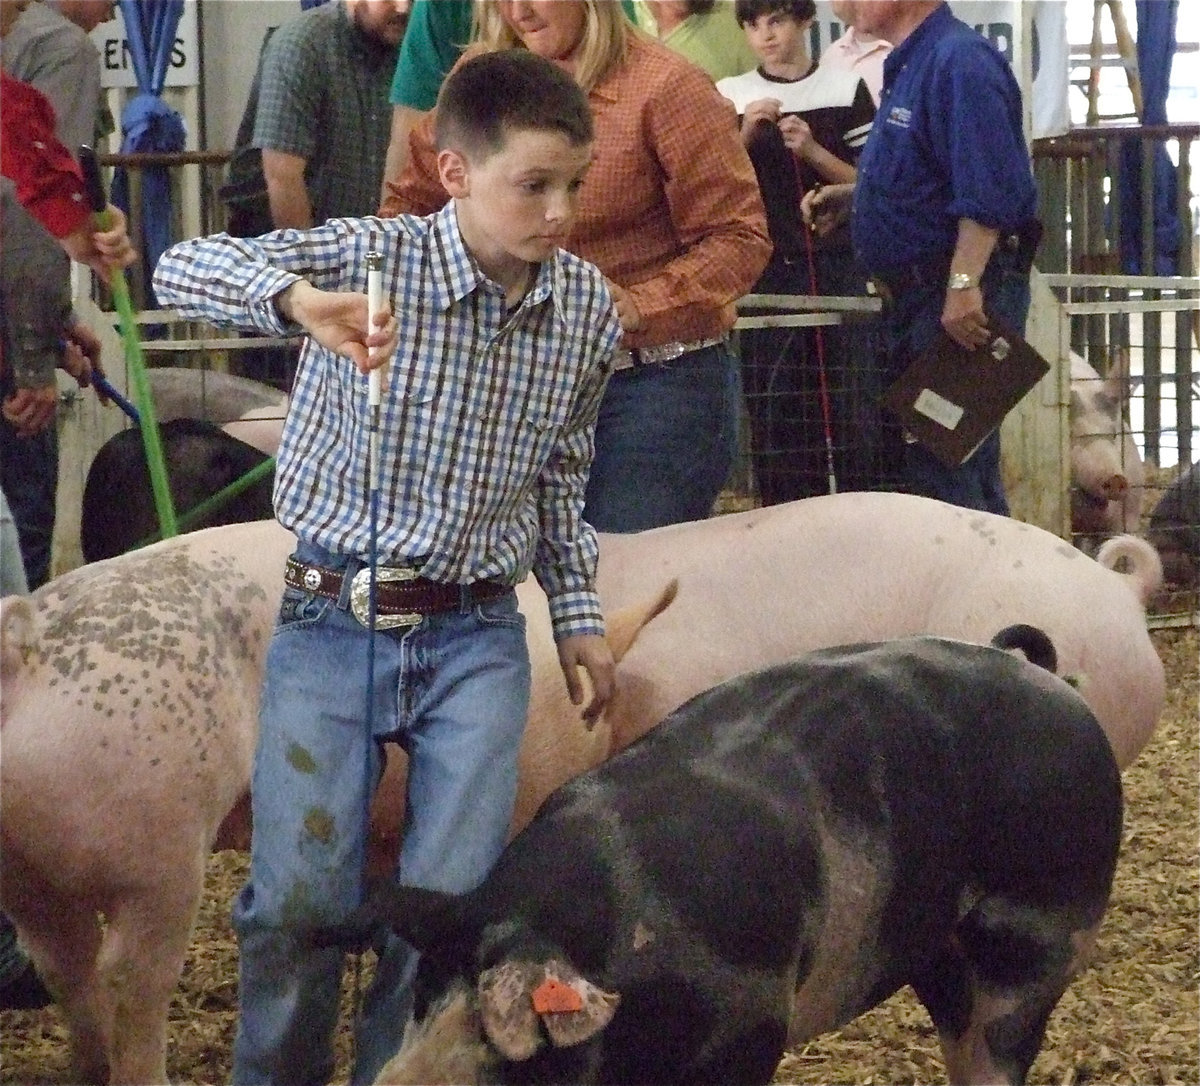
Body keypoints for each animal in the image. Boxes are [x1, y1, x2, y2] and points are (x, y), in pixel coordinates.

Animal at [321, 630, 1122, 1086]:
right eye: (423, 998)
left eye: (503, 1041)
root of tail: (1051, 681)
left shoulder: (748, 1028)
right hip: (940, 951)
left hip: (1044, 934)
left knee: (1001, 1039)